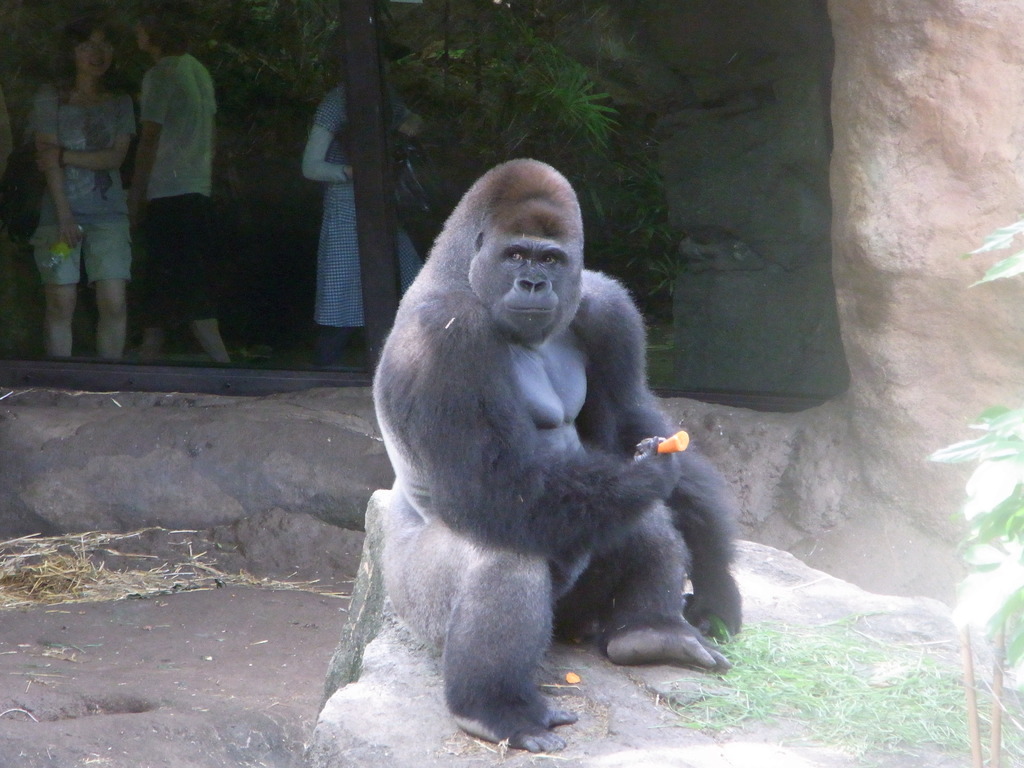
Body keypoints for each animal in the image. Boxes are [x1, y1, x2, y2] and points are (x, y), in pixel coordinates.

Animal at [372, 159, 741, 753]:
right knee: (503, 549)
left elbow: (632, 422)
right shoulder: (444, 337)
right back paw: (493, 706)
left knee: (635, 522)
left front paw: (715, 578)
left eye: (550, 259)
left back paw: (651, 632)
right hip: (409, 597)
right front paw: (642, 479)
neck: (460, 272)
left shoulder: (608, 308)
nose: (533, 283)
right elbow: (489, 484)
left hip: (576, 615)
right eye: (516, 255)